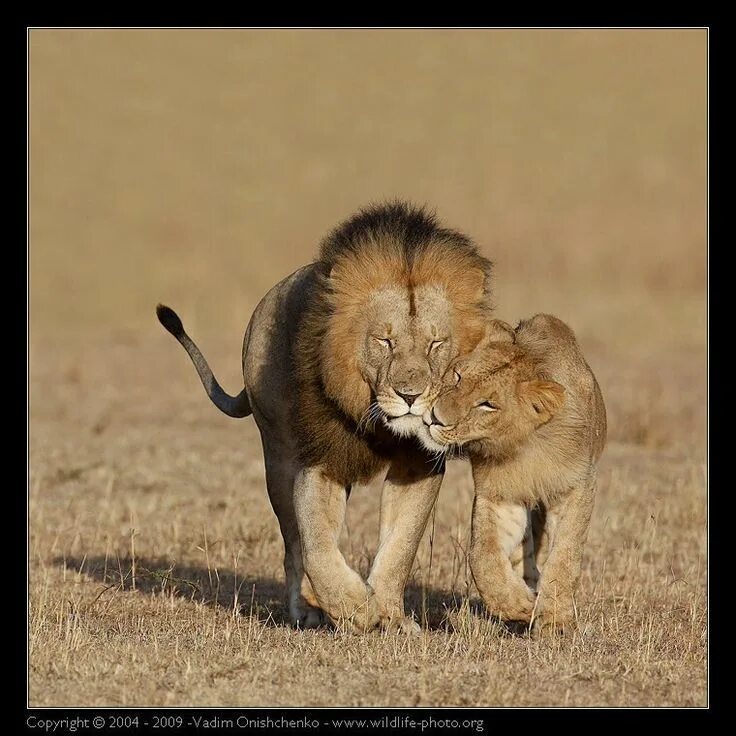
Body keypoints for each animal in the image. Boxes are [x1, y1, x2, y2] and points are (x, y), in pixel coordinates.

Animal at [160, 203, 494, 632]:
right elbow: (316, 543)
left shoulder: (419, 464)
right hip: (278, 456)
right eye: (384, 340)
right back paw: (306, 609)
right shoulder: (320, 459)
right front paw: (355, 607)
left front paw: (390, 615)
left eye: (436, 344)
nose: (410, 396)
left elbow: (401, 543)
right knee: (293, 544)